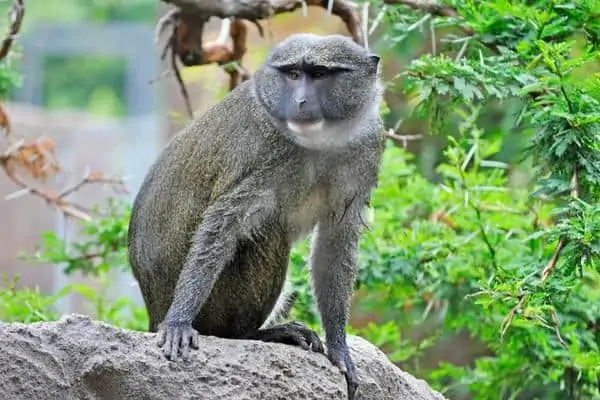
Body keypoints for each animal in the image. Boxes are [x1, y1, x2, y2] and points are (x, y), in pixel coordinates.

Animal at [127, 32, 384, 398]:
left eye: (320, 74)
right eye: (293, 74)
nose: (301, 102)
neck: (319, 142)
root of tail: (153, 310)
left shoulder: (366, 149)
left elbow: (335, 245)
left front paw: (339, 350)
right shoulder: (263, 154)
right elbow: (222, 223)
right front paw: (178, 321)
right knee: (268, 228)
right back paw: (251, 334)